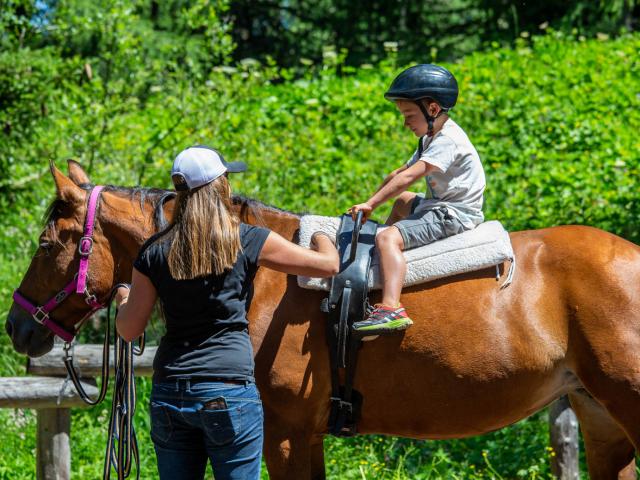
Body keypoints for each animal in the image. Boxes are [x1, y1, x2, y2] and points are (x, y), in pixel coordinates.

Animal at [5, 162, 640, 480]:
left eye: (47, 244)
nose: (17, 327)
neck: (265, 275)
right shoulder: (304, 436)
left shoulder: (282, 435)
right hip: (600, 419)